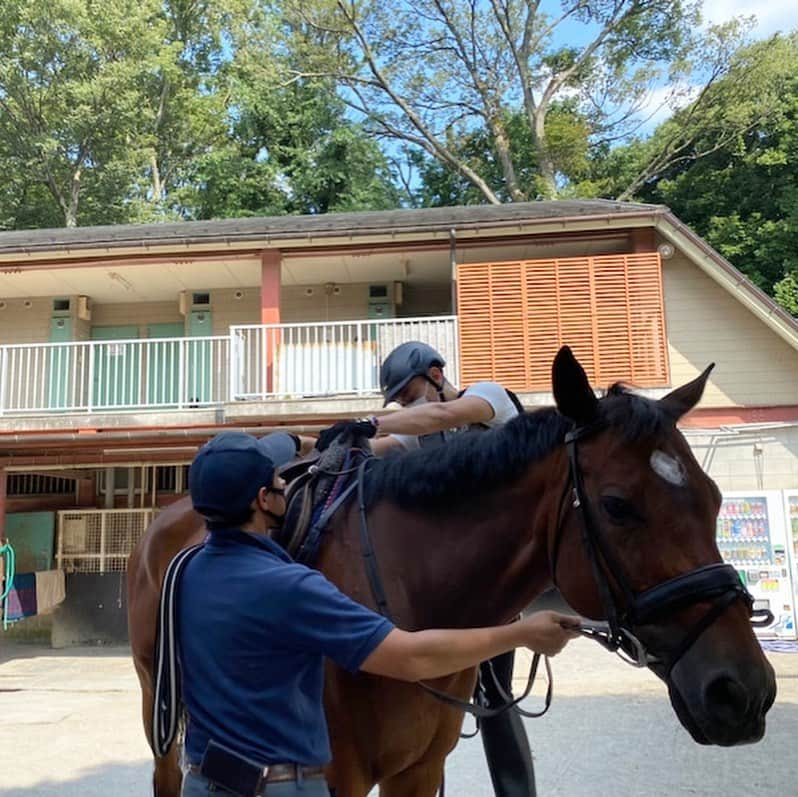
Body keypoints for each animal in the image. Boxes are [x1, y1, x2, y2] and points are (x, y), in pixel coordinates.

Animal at [128, 348, 780, 796]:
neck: (410, 600)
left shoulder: (417, 771)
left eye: (716, 499)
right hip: (157, 700)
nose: (743, 690)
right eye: (618, 506)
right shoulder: (337, 774)